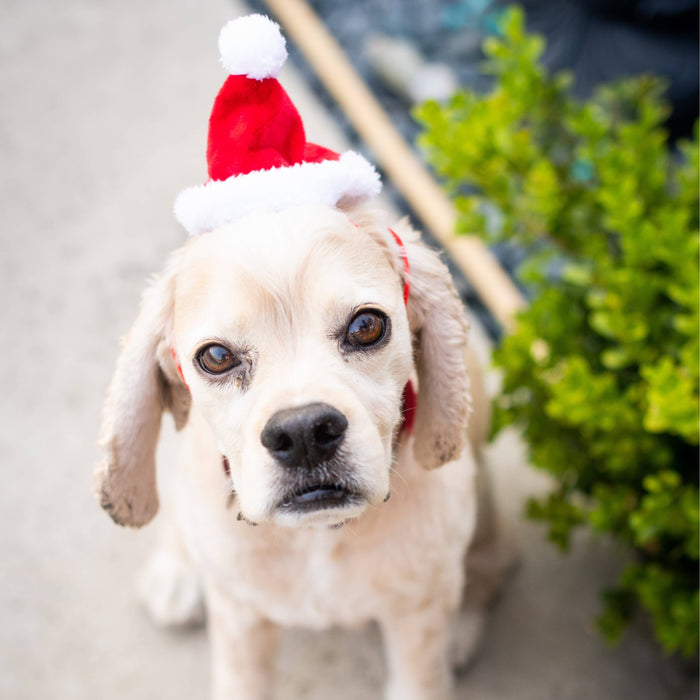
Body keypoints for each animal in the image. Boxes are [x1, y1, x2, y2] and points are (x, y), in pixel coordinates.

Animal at [94, 200, 508, 696]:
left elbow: (422, 679)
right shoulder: (239, 619)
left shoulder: (417, 616)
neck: (317, 536)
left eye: (366, 326)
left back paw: (463, 627)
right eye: (216, 357)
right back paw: (174, 573)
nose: (304, 434)